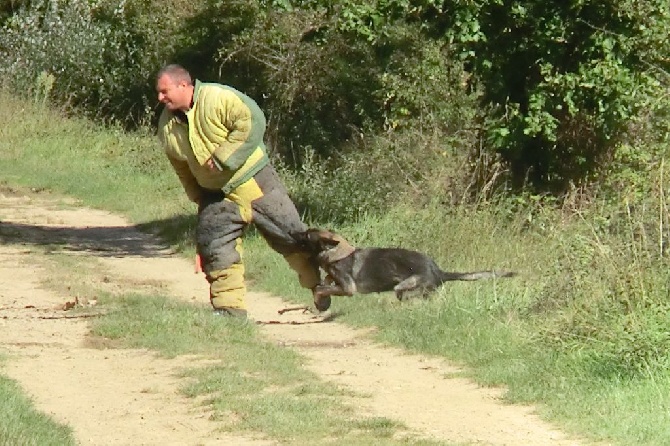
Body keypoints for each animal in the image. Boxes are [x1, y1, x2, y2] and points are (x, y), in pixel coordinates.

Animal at [292, 228, 516, 312]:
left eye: (307, 235)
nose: (292, 232)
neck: (334, 251)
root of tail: (438, 271)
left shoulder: (348, 287)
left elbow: (321, 288)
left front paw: (318, 301)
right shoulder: (336, 278)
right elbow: (326, 281)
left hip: (402, 286)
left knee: (407, 296)